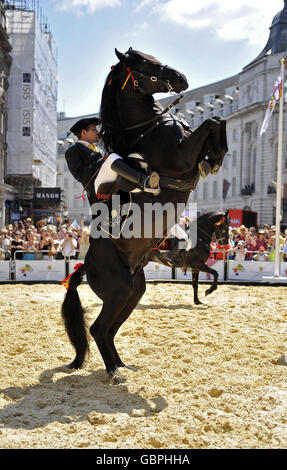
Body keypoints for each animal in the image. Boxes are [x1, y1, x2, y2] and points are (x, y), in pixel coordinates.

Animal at [60, 47, 230, 380]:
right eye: (142, 63)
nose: (181, 78)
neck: (149, 127)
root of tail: (85, 264)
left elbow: (217, 120)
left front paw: (214, 156)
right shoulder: (180, 157)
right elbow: (211, 122)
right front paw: (212, 158)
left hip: (134, 291)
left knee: (109, 331)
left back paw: (121, 365)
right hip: (119, 291)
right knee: (98, 329)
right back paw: (114, 372)